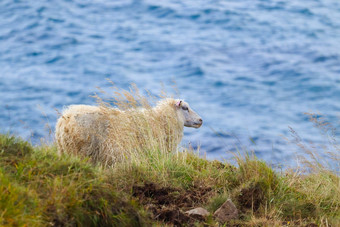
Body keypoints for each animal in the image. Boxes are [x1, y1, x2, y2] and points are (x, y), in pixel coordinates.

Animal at [54, 97, 201, 165]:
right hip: (79, 151)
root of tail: (63, 120)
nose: (201, 120)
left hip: (64, 151)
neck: (160, 119)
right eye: (185, 108)